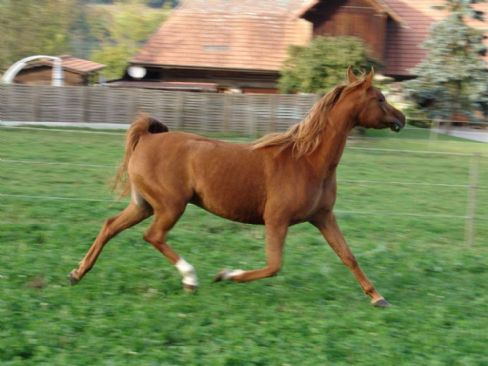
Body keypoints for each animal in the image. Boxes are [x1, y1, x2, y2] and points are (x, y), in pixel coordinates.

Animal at [68, 68, 404, 306]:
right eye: (380, 98)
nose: (401, 117)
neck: (307, 161)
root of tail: (148, 138)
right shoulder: (277, 220)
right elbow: (273, 266)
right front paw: (226, 274)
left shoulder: (323, 217)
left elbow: (348, 255)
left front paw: (378, 298)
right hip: (170, 206)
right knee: (153, 236)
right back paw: (190, 279)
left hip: (144, 205)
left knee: (110, 226)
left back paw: (77, 274)